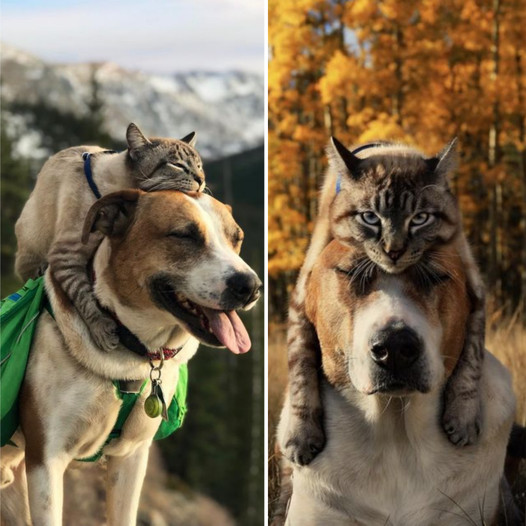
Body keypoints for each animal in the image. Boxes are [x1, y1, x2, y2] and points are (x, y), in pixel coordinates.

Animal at [0, 190, 262, 526]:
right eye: (184, 235)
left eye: (236, 239)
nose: (251, 286)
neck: (130, 352)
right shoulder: (46, 460)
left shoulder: (131, 459)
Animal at [15, 124, 205, 352]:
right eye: (177, 165)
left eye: (199, 166)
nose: (201, 180)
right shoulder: (67, 256)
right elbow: (84, 296)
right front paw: (104, 334)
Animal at [284, 139, 486, 466]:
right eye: (369, 217)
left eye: (420, 218)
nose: (394, 251)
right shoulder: (299, 300)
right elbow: (299, 365)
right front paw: (300, 434)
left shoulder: (476, 288)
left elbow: (473, 356)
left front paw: (464, 417)